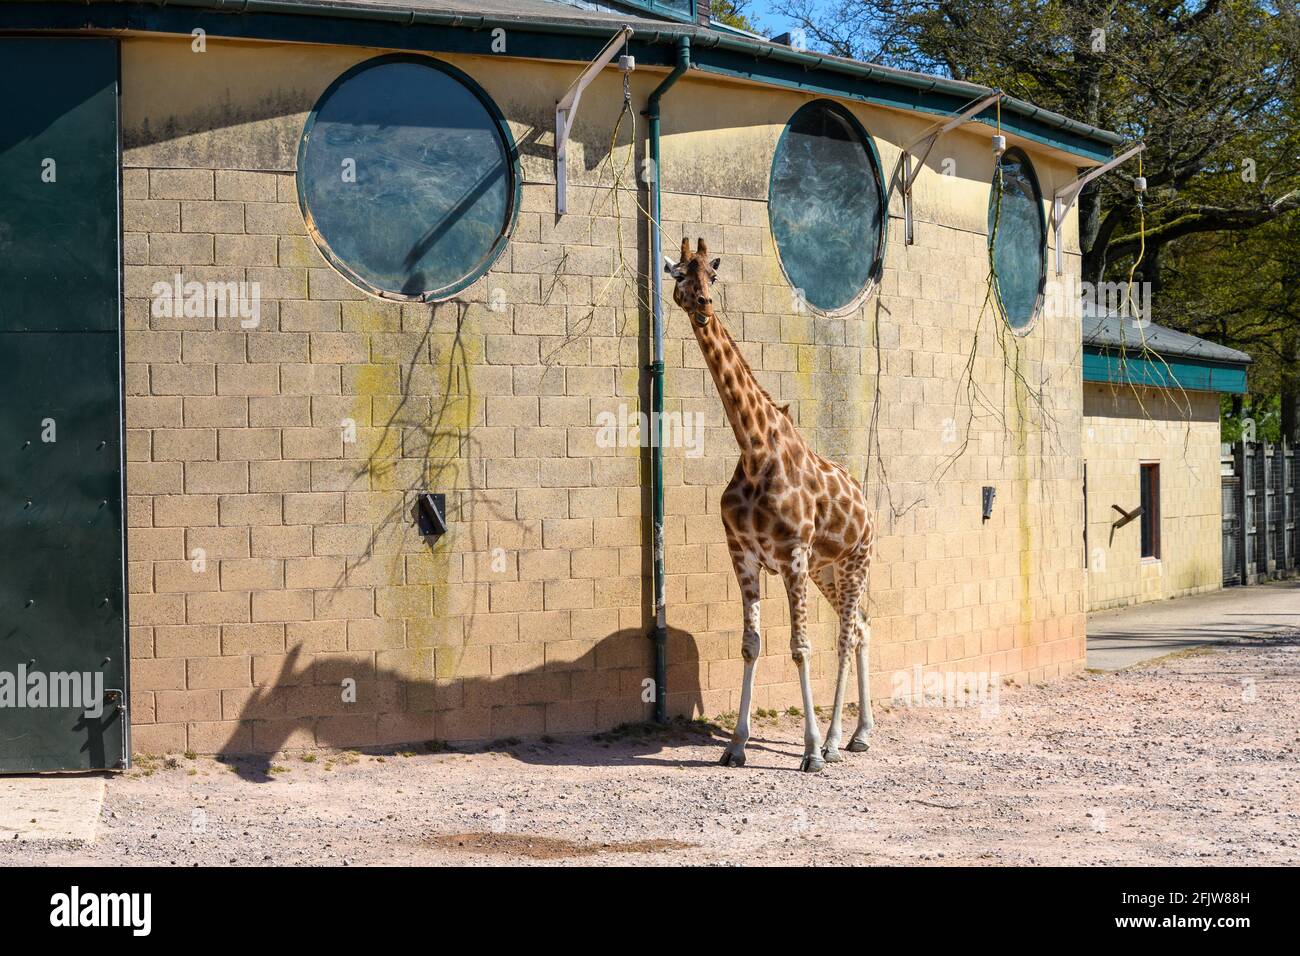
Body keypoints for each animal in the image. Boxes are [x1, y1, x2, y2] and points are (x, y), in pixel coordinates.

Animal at [664, 237, 875, 773]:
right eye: (681, 274)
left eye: (713, 275)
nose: (703, 303)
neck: (755, 448)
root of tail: (868, 507)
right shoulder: (742, 553)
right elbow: (750, 645)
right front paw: (736, 746)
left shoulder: (793, 555)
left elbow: (800, 647)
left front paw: (811, 751)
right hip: (827, 571)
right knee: (862, 626)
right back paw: (860, 735)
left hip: (854, 562)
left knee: (846, 634)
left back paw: (834, 741)